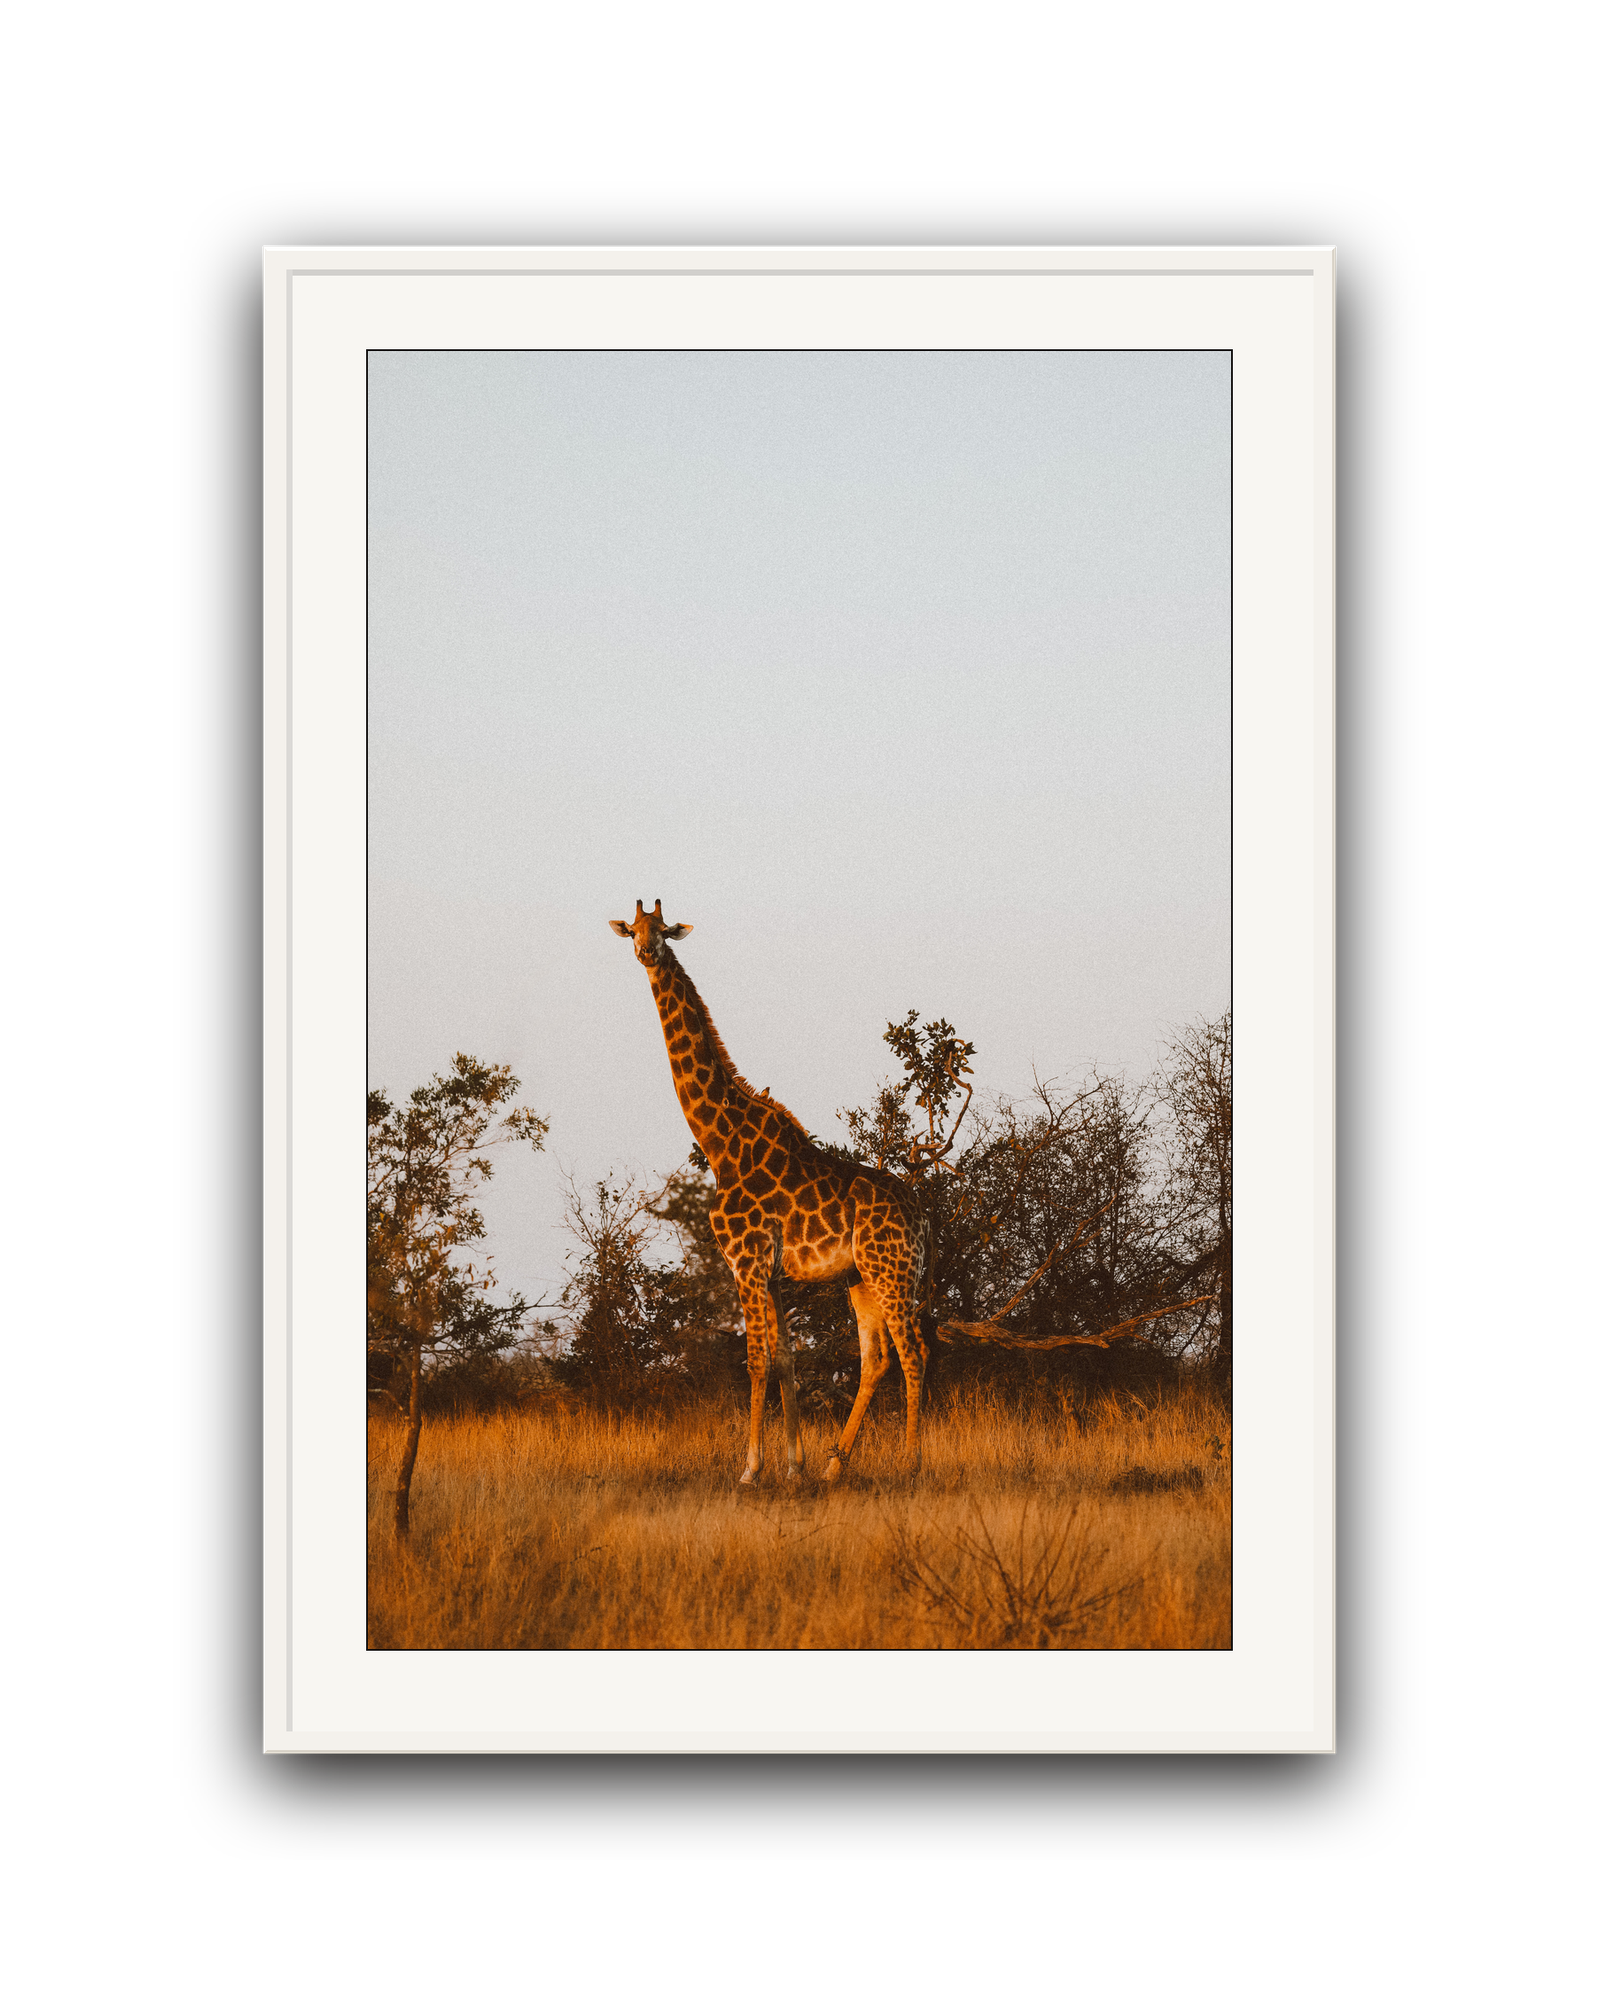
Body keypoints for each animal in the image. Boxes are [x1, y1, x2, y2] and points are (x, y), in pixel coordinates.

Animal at [609, 900, 930, 1486]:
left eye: (663, 930)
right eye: (633, 930)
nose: (646, 952)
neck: (721, 1144)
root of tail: (923, 1216)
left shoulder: (747, 1260)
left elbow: (756, 1359)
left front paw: (750, 1469)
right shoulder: (775, 1273)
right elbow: (785, 1359)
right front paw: (794, 1467)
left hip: (892, 1270)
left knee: (912, 1353)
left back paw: (912, 1465)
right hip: (862, 1277)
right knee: (876, 1359)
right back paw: (833, 1467)